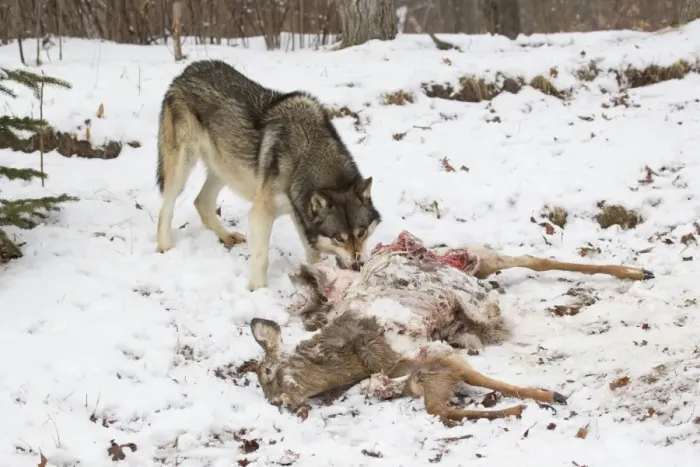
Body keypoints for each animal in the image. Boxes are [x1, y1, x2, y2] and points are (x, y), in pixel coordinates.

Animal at [155, 60, 381, 291]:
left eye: (362, 233)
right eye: (339, 238)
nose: (358, 266)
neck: (306, 154)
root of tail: (185, 72)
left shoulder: (298, 211)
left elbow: (313, 254)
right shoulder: (262, 213)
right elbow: (262, 257)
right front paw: (257, 289)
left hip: (225, 168)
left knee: (201, 201)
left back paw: (227, 236)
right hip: (183, 167)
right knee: (166, 209)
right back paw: (165, 247)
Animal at [250, 230, 653, 423]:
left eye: (268, 372)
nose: (281, 404)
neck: (357, 357)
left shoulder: (433, 351)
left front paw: (550, 394)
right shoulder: (428, 363)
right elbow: (444, 404)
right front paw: (535, 401)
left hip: (476, 263)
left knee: (533, 259)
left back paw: (638, 271)